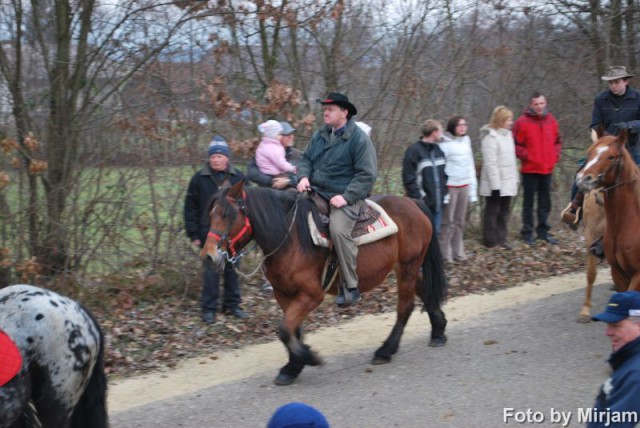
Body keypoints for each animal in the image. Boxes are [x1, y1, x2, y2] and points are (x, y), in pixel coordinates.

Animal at [202, 179, 448, 386]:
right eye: (211, 214)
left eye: (227, 215)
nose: (209, 256)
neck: (290, 238)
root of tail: (414, 203)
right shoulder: (283, 294)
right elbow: (292, 330)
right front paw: (292, 367)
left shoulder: (311, 295)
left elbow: (284, 330)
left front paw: (309, 358)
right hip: (406, 267)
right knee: (425, 290)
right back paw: (438, 331)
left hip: (407, 267)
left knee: (405, 307)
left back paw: (385, 350)